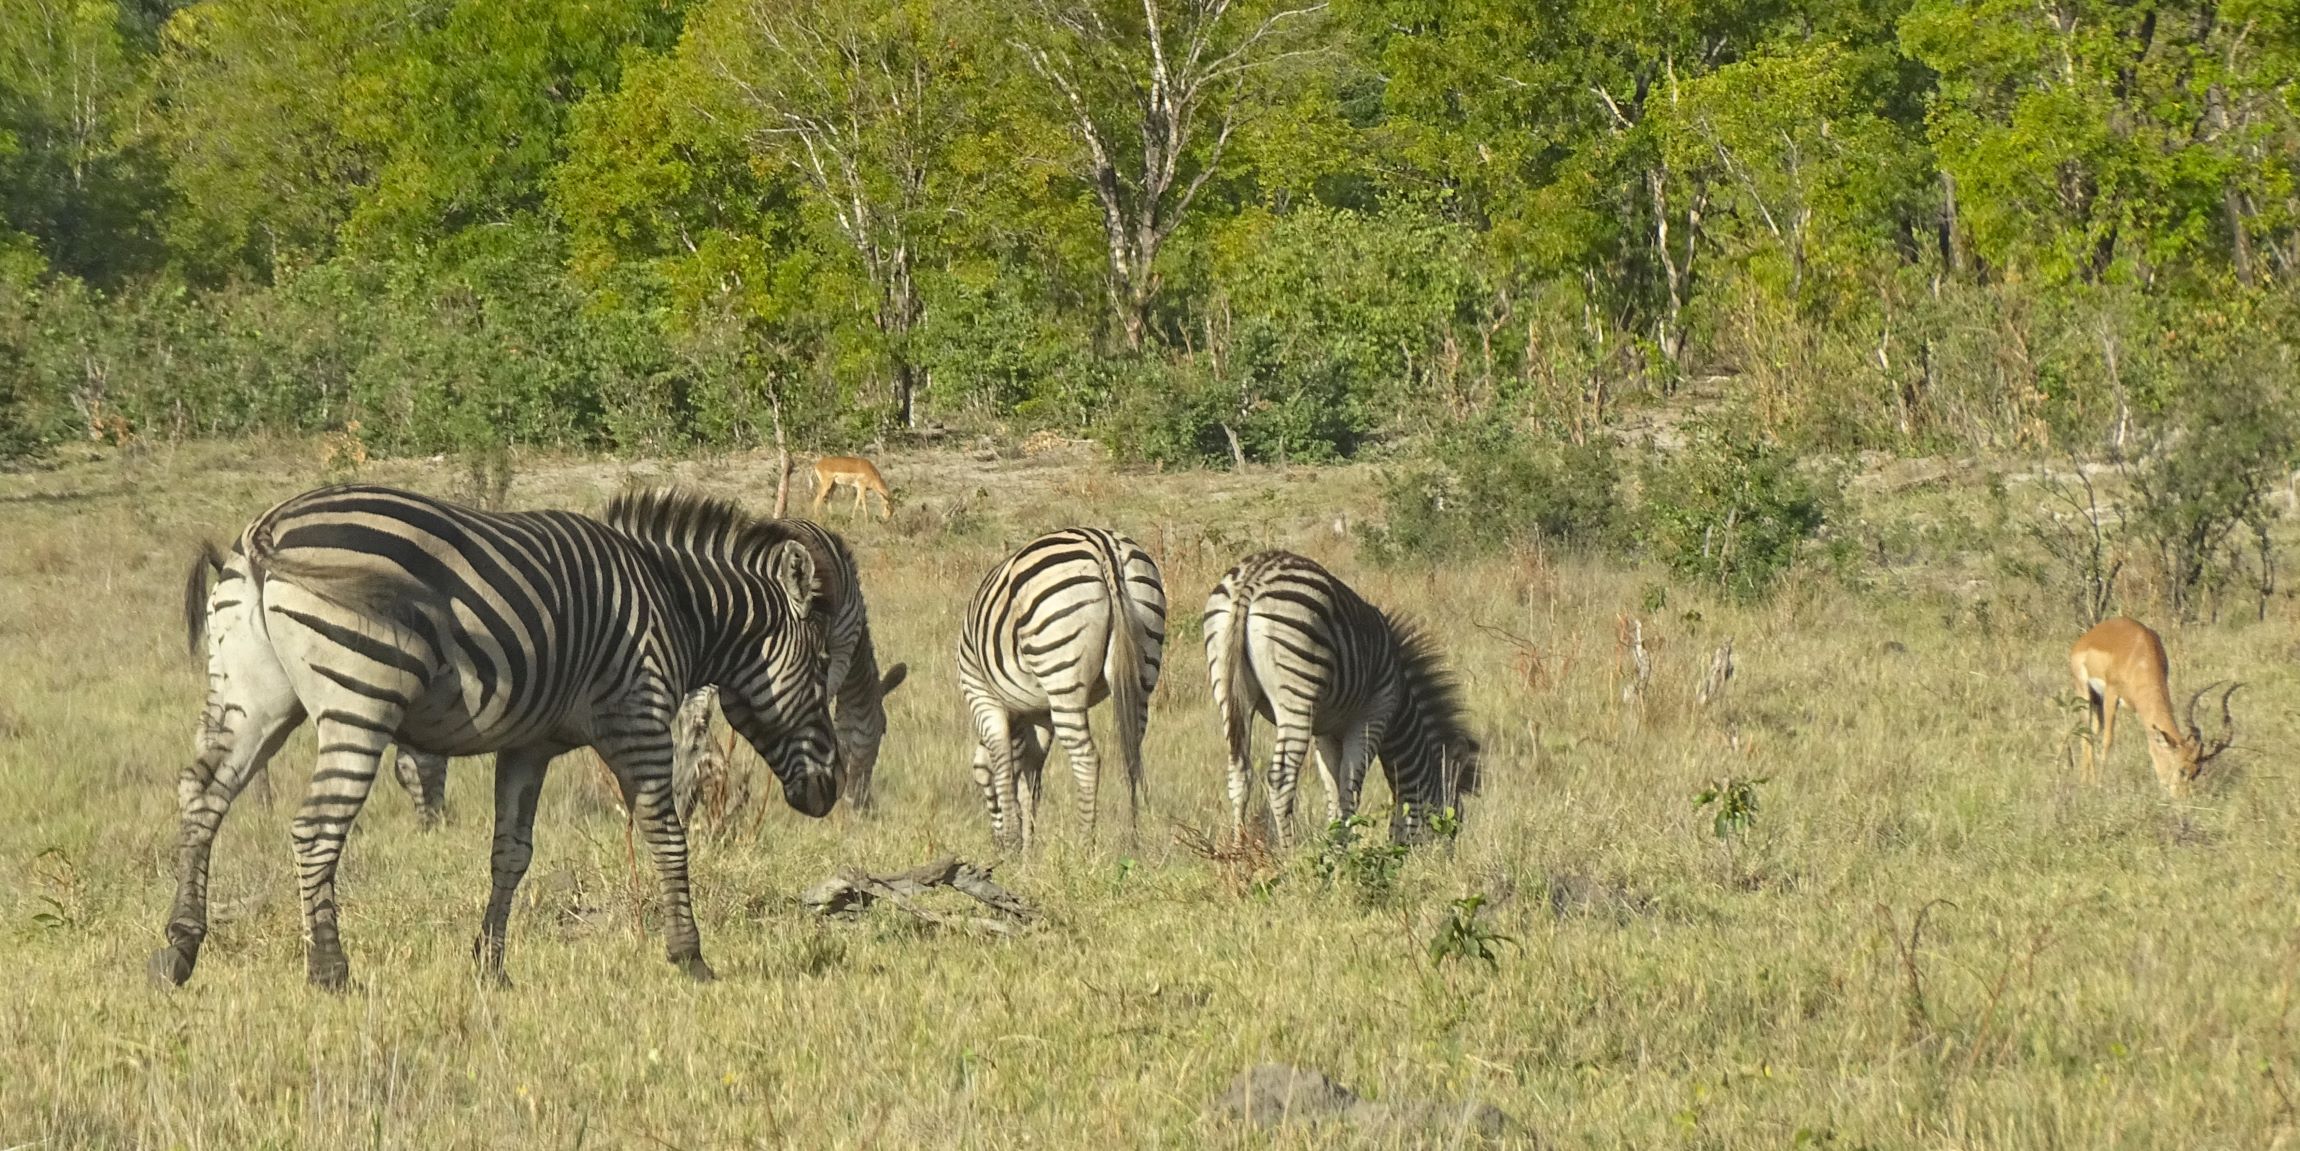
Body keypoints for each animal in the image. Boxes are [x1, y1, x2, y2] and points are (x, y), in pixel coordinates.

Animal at [159, 485, 846, 989]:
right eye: (820, 668)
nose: (833, 788)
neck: (673, 602)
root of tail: (267, 529)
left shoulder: (528, 744)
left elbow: (510, 854)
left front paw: (491, 968)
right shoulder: (638, 715)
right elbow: (669, 838)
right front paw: (692, 958)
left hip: (254, 698)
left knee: (203, 796)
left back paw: (178, 950)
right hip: (360, 698)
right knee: (316, 827)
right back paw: (329, 973)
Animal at [956, 527, 1168, 847]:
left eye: (985, 794)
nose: (998, 848)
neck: (1021, 719)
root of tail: (1104, 548)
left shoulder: (981, 696)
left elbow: (1004, 766)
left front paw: (1014, 840)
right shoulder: (1040, 714)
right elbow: (1030, 780)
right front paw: (1027, 846)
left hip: (1062, 675)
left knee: (1087, 759)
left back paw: (1084, 845)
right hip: (1143, 666)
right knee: (1132, 754)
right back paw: (1133, 838)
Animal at [1205, 552, 1472, 851]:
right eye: (1451, 824)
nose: (1444, 859)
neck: (1401, 706)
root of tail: (1253, 577)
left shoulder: (1326, 731)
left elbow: (1333, 790)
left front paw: (1335, 843)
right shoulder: (1373, 715)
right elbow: (1349, 787)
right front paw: (1345, 847)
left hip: (1228, 687)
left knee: (1238, 773)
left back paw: (1238, 851)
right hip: (1298, 691)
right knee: (1281, 778)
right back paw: (1290, 852)